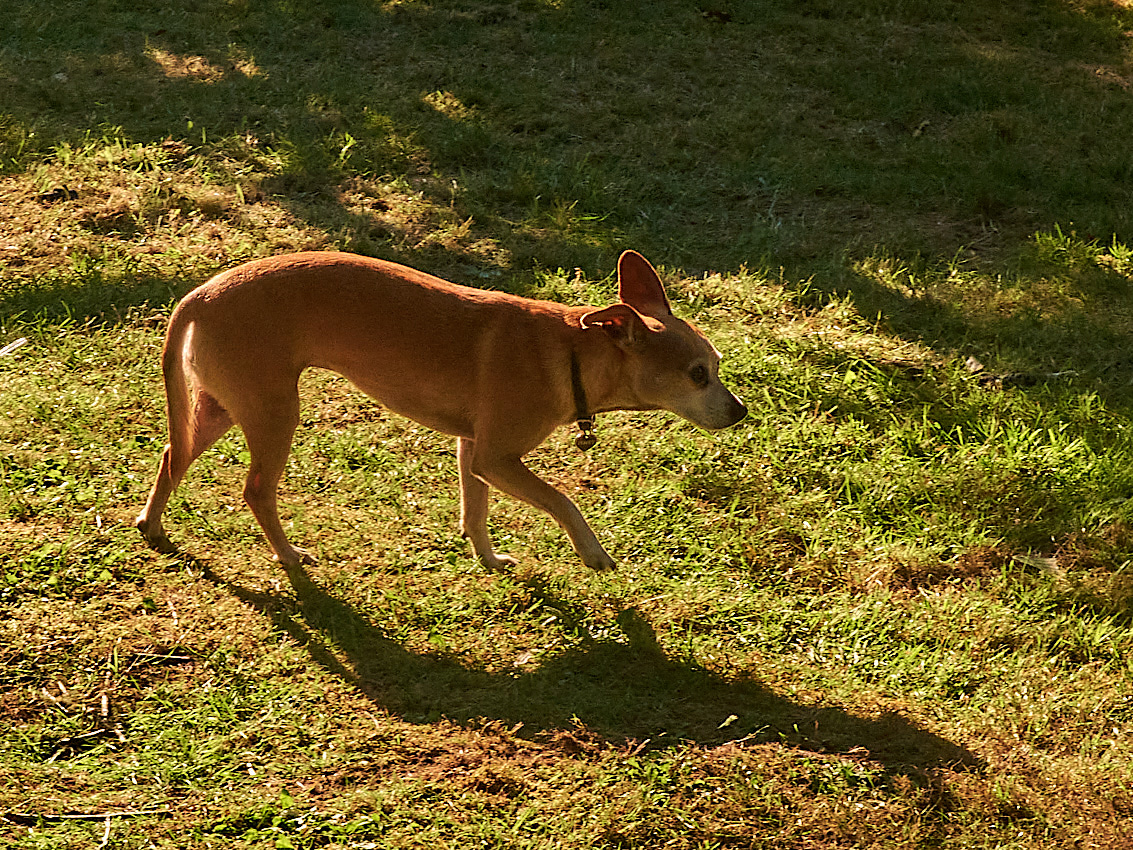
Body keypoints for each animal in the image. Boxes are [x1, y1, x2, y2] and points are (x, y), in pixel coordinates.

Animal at [134, 251, 743, 573]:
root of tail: (199, 294)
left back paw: (152, 525)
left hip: (218, 410)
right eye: (698, 374)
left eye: (716, 363)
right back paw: (287, 554)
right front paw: (592, 552)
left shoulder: (473, 450)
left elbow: (476, 512)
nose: (739, 412)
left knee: (170, 456)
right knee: (256, 489)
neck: (570, 350)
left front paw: (489, 560)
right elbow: (563, 501)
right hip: (275, 412)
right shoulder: (498, 457)